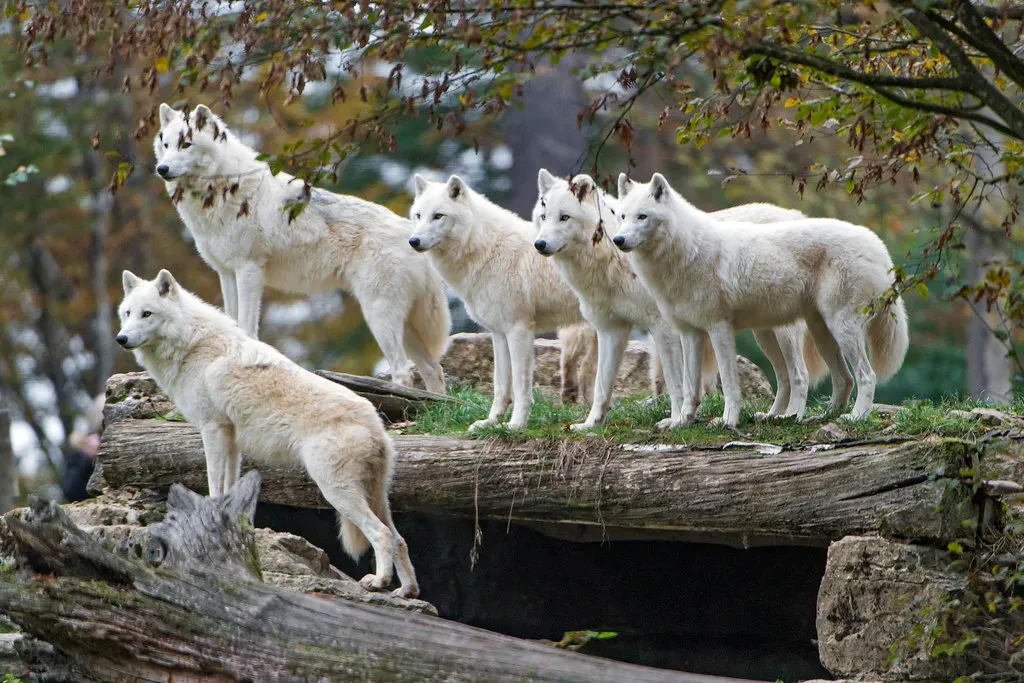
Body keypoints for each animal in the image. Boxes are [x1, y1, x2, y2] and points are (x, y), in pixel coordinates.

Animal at [116, 269, 419, 598]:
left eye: (147, 314)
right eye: (127, 313)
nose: (121, 339)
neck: (192, 344)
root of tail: (375, 424)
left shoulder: (213, 429)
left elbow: (213, 484)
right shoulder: (231, 440)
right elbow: (228, 487)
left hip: (337, 492)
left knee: (382, 534)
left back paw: (378, 582)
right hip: (374, 496)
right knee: (400, 539)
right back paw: (407, 591)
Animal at [153, 103, 450, 394]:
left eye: (186, 144)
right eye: (166, 144)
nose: (161, 169)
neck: (222, 188)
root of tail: (411, 231)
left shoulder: (249, 269)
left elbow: (246, 326)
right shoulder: (225, 273)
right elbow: (231, 319)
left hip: (378, 315)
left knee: (403, 371)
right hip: (402, 324)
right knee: (433, 369)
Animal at [408, 174, 591, 430]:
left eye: (438, 215)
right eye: (418, 215)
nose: (413, 241)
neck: (486, 248)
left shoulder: (519, 330)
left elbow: (521, 387)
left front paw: (516, 426)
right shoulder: (499, 333)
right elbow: (501, 385)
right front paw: (491, 422)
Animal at [534, 170, 826, 429]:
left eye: (564, 217)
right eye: (543, 217)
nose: (539, 244)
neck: (612, 261)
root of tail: (798, 214)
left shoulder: (664, 327)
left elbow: (676, 383)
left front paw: (676, 419)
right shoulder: (610, 331)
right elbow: (601, 386)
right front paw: (590, 424)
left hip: (783, 333)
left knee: (799, 375)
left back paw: (791, 417)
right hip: (763, 332)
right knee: (783, 376)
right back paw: (773, 416)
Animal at [613, 173, 908, 428]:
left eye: (642, 216)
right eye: (622, 216)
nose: (618, 239)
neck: (686, 252)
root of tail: (878, 246)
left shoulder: (719, 329)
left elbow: (729, 383)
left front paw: (728, 421)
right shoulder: (690, 334)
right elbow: (689, 387)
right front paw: (681, 422)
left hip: (836, 329)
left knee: (864, 376)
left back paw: (855, 417)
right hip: (807, 333)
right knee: (842, 379)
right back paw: (815, 417)